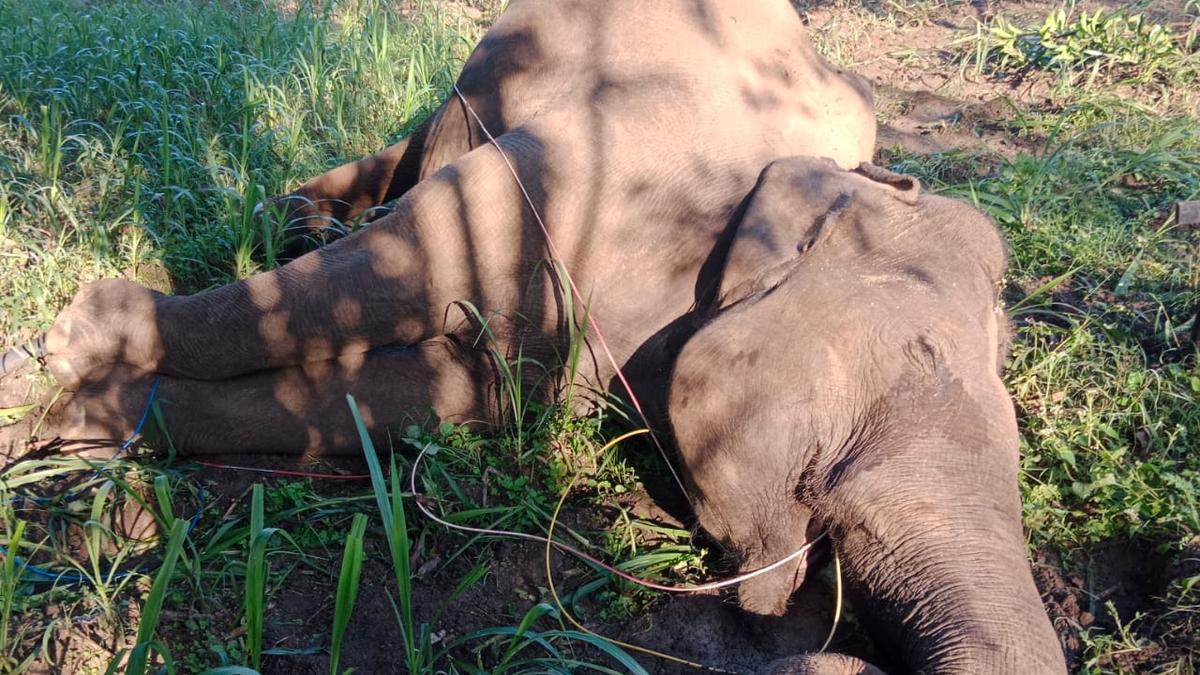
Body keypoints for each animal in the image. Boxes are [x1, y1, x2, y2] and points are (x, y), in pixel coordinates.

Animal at [38, 0, 1065, 673]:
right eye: (831, 471)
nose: (823, 648)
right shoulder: (614, 153)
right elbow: (417, 254)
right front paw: (69, 347)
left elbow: (456, 395)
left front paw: (74, 420)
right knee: (409, 160)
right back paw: (296, 221)